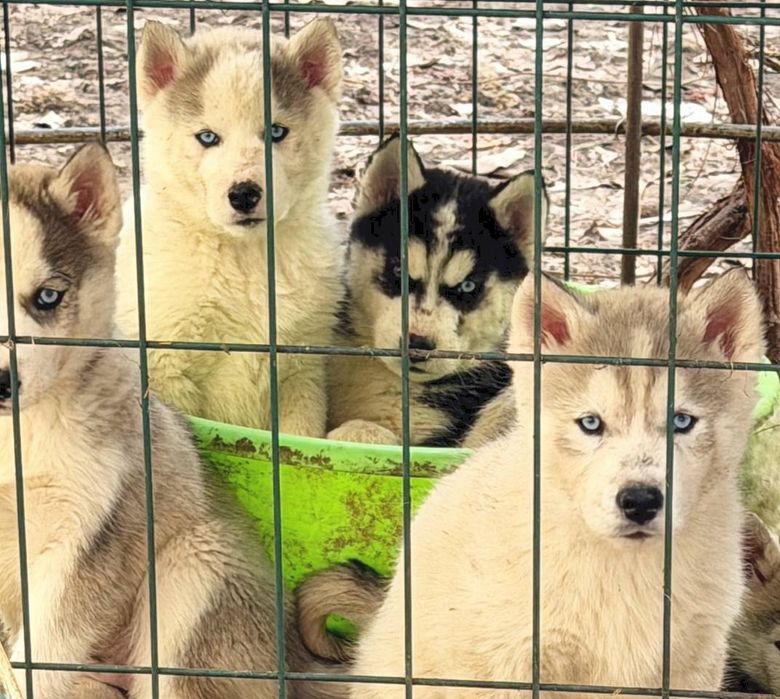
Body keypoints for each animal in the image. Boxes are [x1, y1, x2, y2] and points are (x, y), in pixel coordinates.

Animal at [0, 144, 340, 699]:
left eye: (48, 297)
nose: (0, 384)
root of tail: (293, 657)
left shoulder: (91, 536)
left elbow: (43, 658)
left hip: (192, 571)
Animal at [114, 19, 345, 436]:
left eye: (277, 132)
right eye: (207, 137)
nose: (244, 194)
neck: (244, 259)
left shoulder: (303, 371)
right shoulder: (166, 364)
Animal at [348, 271, 764, 699]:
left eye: (682, 421)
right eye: (591, 423)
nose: (640, 501)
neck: (623, 569)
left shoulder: (693, 664)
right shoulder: (515, 665)